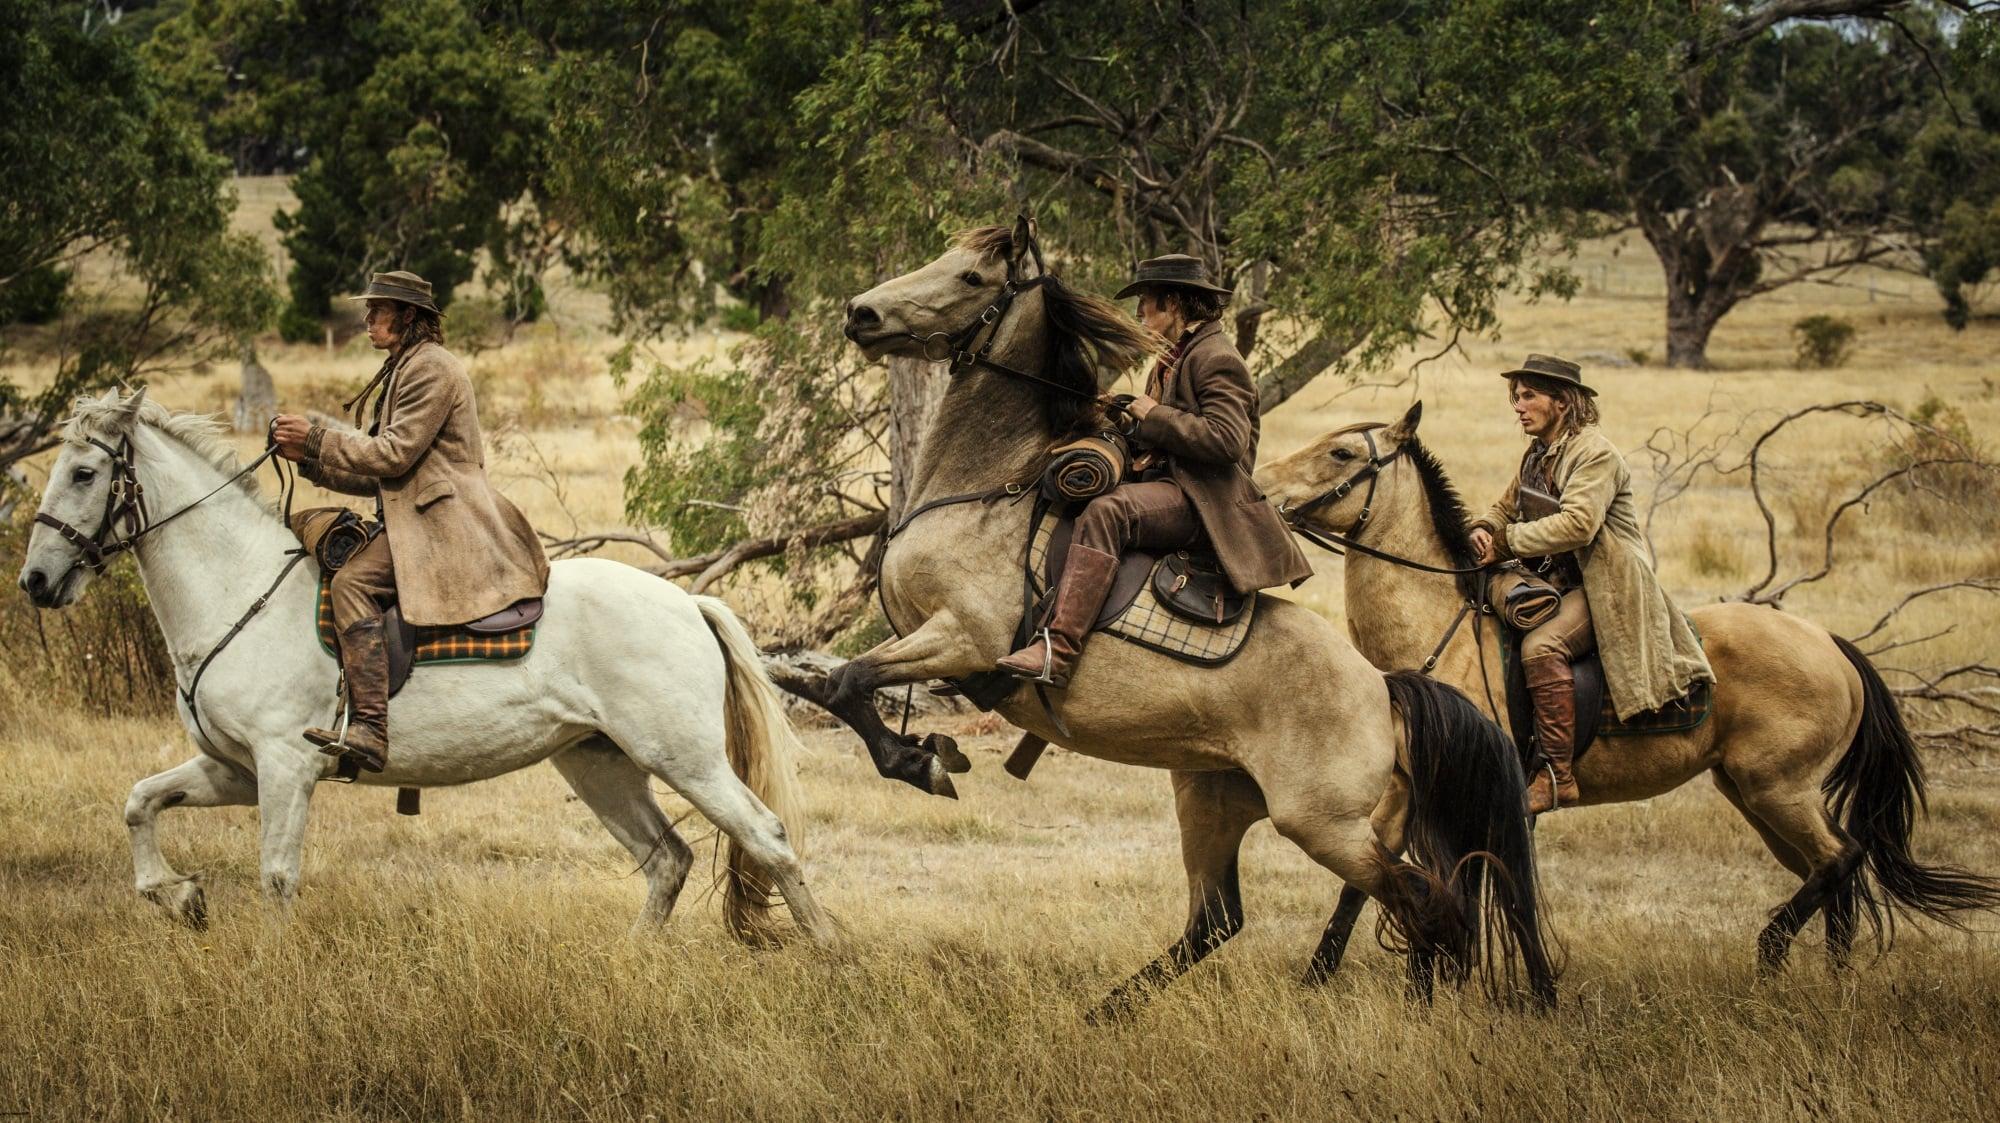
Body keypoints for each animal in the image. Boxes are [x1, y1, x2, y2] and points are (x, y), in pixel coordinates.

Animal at [17, 383, 828, 935]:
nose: (36, 581)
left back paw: (828, 955)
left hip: (683, 757)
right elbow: (140, 801)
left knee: (768, 840)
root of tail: (688, 602)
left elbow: (277, 877)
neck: (238, 589)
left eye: (84, 474)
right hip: (600, 762)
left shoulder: (283, 767)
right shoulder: (235, 770)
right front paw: (180, 896)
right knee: (667, 860)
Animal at [828, 220, 1560, 1015]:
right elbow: (835, 685)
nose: (861, 313)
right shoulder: (927, 639)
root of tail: (1383, 689)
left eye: (969, 278)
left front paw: (920, 761)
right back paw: (1105, 1013)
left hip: (1324, 824)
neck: (989, 488)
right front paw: (931, 748)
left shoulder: (960, 638)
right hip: (1212, 796)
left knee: (1425, 902)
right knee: (1219, 918)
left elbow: (845, 682)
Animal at [1256, 401, 2000, 971]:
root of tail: (1830, 644)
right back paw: (1831, 979)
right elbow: (1364, 882)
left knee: (1840, 859)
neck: (1443, 631)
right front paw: (1319, 977)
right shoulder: (1403, 794)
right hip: (1757, 795)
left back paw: (1771, 952)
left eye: (1342, 452)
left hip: (1778, 790)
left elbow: (1473, 887)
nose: (1261, 488)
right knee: (1836, 872)